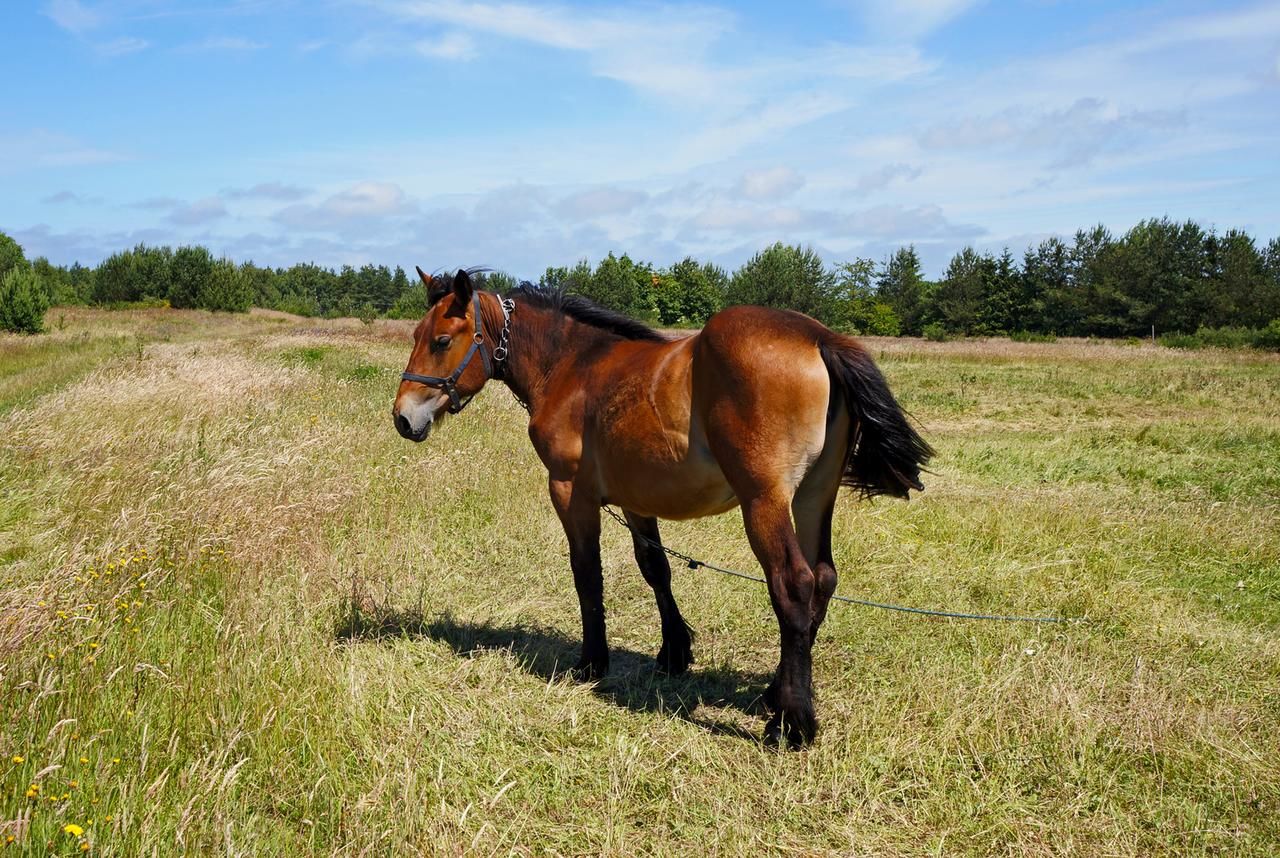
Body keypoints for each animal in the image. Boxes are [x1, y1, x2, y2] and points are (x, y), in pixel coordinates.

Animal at [389, 267, 931, 747]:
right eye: (417, 334)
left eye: (442, 340)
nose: (402, 418)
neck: (573, 367)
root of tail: (818, 337)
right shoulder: (637, 500)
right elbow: (656, 568)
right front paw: (674, 652)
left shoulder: (569, 492)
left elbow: (587, 573)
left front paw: (592, 661)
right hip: (815, 497)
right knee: (823, 580)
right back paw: (775, 695)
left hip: (766, 501)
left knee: (793, 585)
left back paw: (790, 723)